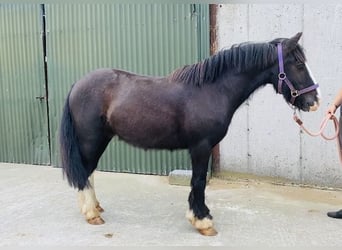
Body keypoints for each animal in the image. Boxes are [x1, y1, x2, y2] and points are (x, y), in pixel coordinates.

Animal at [60, 33, 320, 236]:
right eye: (298, 64)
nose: (314, 102)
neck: (212, 90)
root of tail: (77, 85)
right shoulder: (201, 147)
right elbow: (199, 181)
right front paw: (202, 221)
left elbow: (198, 182)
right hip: (91, 140)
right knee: (85, 171)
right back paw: (91, 213)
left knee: (89, 172)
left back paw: (95, 207)